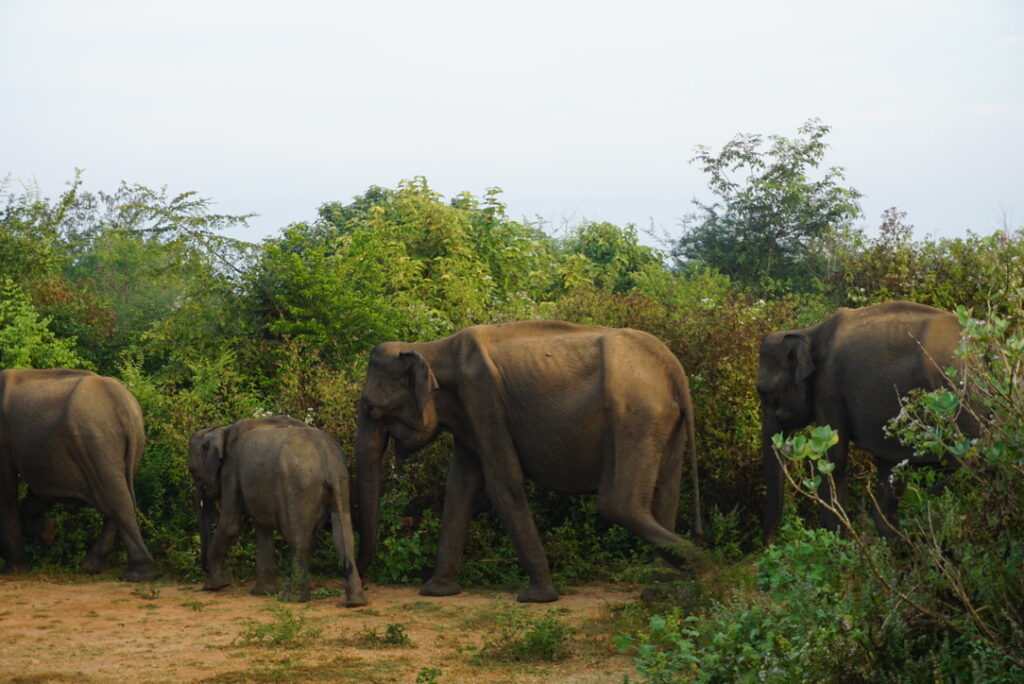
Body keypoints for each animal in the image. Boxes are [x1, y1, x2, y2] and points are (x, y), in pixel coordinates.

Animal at [0, 368, 155, 581]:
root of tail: (125, 409)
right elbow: (39, 491)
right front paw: (49, 533)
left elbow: (7, 490)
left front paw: (13, 570)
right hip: (132, 442)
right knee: (120, 495)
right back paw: (91, 567)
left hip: (95, 440)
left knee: (116, 497)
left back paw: (136, 575)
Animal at [188, 415, 366, 606]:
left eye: (192, 471)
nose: (205, 570)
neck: (222, 430)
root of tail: (328, 458)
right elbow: (262, 527)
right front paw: (262, 592)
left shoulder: (231, 471)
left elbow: (230, 525)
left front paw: (214, 586)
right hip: (340, 482)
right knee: (344, 533)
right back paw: (355, 602)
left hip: (297, 487)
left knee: (297, 539)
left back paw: (291, 598)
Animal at [354, 320, 706, 603]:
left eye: (371, 408)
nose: (364, 589)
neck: (431, 348)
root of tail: (674, 368)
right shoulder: (470, 415)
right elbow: (460, 486)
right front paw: (436, 592)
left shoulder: (482, 397)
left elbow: (503, 481)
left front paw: (537, 598)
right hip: (664, 420)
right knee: (665, 498)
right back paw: (661, 591)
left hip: (635, 413)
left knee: (619, 504)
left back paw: (705, 568)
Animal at [758, 300, 977, 545]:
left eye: (765, 392)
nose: (769, 545)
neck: (809, 331)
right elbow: (889, 470)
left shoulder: (828, 388)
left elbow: (832, 459)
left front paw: (839, 546)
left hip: (956, 393)